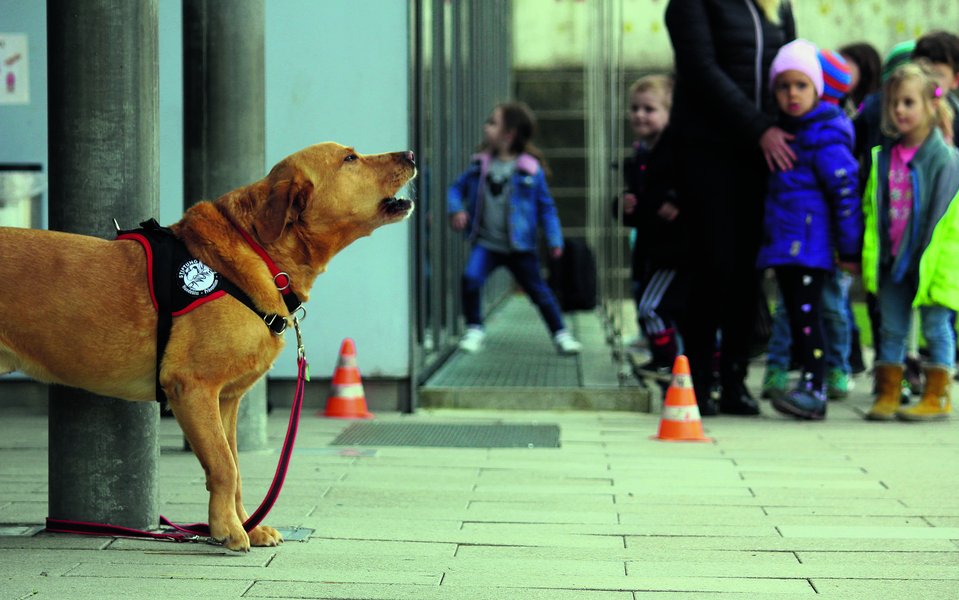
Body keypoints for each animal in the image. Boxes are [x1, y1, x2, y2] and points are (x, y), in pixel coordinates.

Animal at [1, 143, 418, 552]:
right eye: (350, 158)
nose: (412, 155)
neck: (262, 254)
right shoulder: (192, 388)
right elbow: (224, 465)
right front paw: (227, 529)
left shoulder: (225, 401)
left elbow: (235, 465)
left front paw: (248, 524)